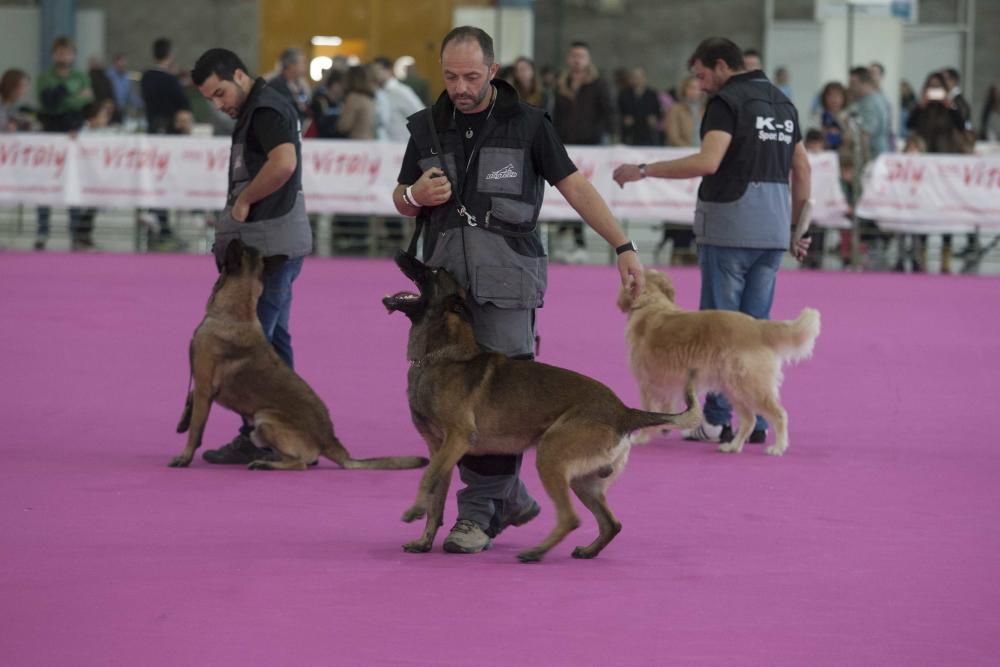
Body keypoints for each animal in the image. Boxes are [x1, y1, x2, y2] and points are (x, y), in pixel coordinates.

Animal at [170, 237, 428, 472]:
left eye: (239, 247)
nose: (233, 236)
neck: (234, 314)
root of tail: (330, 440)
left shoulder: (205, 389)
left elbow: (196, 429)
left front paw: (184, 457)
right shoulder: (201, 385)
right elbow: (190, 400)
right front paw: (182, 421)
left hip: (264, 418)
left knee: (299, 463)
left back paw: (264, 464)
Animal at [382, 253, 704, 560]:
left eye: (433, 271)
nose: (401, 253)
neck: (443, 356)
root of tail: (624, 411)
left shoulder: (457, 439)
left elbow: (427, 477)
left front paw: (414, 510)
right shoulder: (440, 449)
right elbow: (436, 498)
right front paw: (424, 540)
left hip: (550, 456)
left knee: (571, 518)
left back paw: (536, 552)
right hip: (584, 481)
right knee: (611, 523)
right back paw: (587, 551)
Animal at [616, 268, 820, 456]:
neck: (650, 304)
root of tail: (757, 326)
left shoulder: (647, 383)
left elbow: (648, 409)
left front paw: (641, 438)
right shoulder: (666, 382)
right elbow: (666, 407)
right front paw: (663, 427)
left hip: (749, 385)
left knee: (779, 415)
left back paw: (777, 447)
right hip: (732, 387)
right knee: (750, 419)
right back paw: (733, 446)